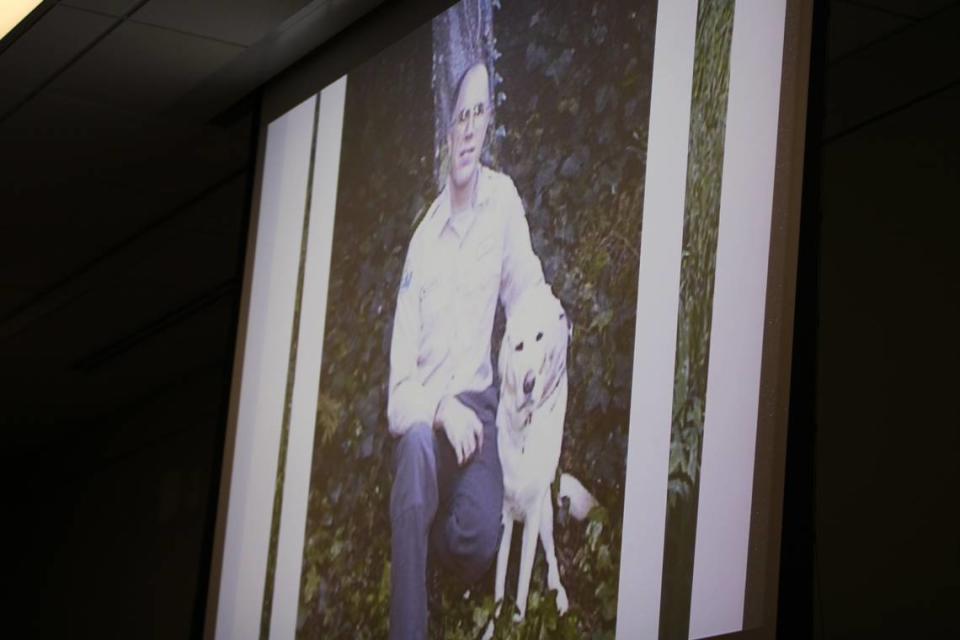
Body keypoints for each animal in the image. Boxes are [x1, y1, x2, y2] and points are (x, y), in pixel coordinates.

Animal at [492, 284, 596, 632]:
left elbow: (523, 585)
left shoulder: (534, 512)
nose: (528, 384)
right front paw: (492, 628)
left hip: (547, 518)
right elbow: (498, 588)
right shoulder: (503, 515)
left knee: (550, 556)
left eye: (540, 337)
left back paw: (559, 595)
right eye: (518, 345)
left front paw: (517, 624)